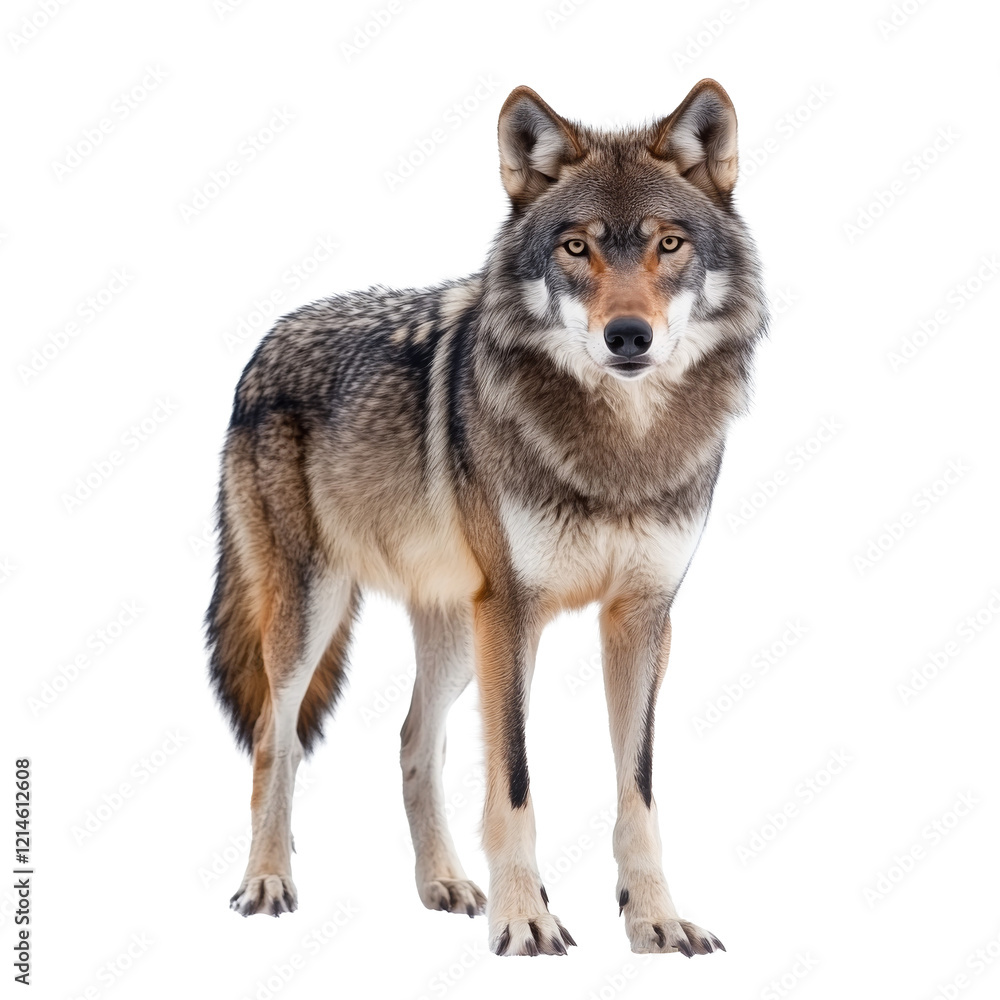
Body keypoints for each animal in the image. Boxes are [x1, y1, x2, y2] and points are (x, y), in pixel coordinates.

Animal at [207, 78, 768, 957]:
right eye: (575, 249)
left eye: (669, 244)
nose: (628, 336)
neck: (620, 452)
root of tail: (266, 340)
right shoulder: (514, 612)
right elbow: (514, 783)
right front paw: (526, 918)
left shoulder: (642, 617)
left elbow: (637, 789)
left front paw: (655, 919)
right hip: (315, 610)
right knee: (277, 736)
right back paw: (267, 881)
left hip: (453, 635)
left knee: (413, 740)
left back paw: (442, 882)